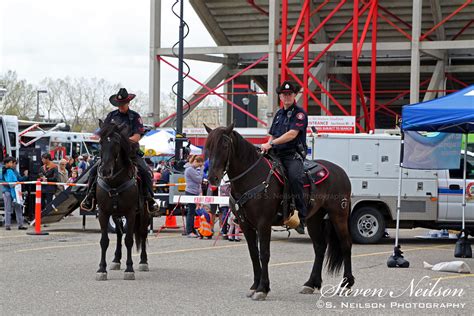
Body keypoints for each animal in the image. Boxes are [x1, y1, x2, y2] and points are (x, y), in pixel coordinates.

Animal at [95, 119, 149, 280]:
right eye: (100, 142)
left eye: (117, 142)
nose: (105, 171)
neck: (114, 182)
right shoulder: (104, 213)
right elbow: (104, 241)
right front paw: (102, 269)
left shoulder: (131, 213)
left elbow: (129, 240)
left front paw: (129, 269)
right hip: (116, 214)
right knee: (119, 234)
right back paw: (116, 260)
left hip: (144, 213)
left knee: (142, 233)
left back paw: (143, 261)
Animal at [206, 123, 354, 298]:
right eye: (208, 146)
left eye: (225, 145)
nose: (213, 178)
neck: (252, 177)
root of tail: (341, 172)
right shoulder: (245, 224)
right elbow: (253, 253)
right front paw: (255, 286)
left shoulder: (263, 224)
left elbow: (264, 254)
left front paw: (262, 288)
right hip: (314, 219)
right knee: (319, 247)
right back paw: (311, 283)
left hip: (339, 215)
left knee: (345, 244)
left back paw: (346, 284)